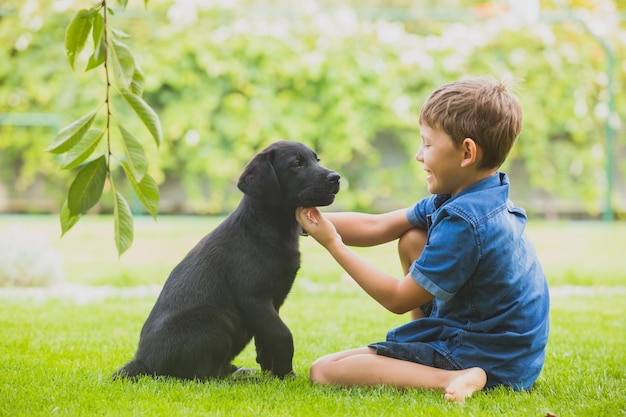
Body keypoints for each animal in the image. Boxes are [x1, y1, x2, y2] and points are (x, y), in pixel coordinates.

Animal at [112, 141, 336, 378]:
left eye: (317, 160)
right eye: (297, 164)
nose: (336, 177)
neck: (268, 226)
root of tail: (143, 362)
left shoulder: (272, 302)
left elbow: (266, 340)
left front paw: (272, 374)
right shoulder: (254, 298)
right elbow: (283, 336)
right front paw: (286, 375)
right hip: (214, 323)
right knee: (203, 376)